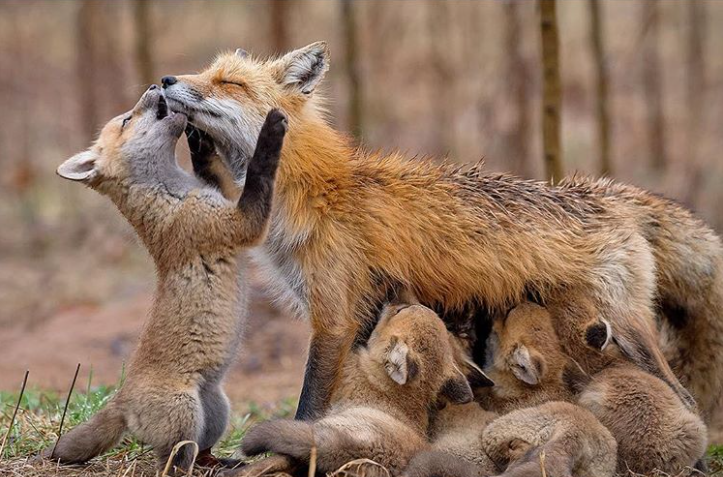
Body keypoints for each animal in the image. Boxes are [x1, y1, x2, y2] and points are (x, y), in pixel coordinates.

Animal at [41, 86, 288, 471]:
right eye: (127, 119)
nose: (155, 87)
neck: (174, 193)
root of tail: (122, 398)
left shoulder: (224, 198)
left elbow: (215, 170)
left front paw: (200, 138)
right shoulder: (238, 223)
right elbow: (260, 172)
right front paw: (271, 128)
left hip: (215, 408)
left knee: (204, 454)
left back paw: (228, 464)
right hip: (185, 415)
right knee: (173, 464)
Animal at [160, 42, 723, 424]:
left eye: (229, 83)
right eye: (206, 73)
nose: (164, 80)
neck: (314, 190)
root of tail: (609, 193)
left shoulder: (335, 317)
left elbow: (309, 404)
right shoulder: (363, 316)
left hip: (627, 329)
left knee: (685, 398)